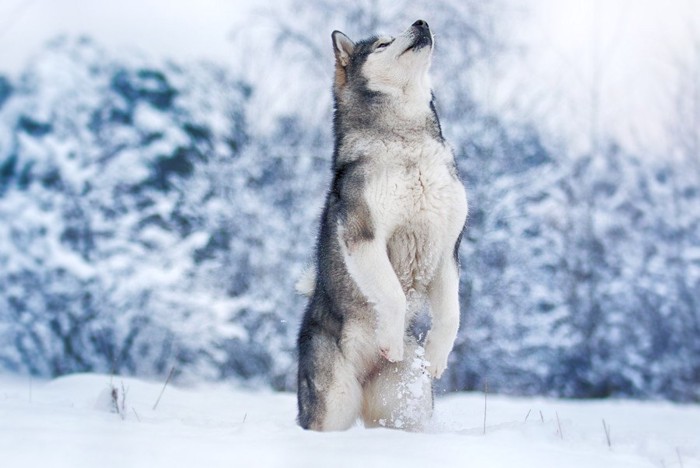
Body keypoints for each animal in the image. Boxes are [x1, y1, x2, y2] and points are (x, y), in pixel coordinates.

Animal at [298, 21, 468, 432]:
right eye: (382, 44)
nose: (422, 22)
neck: (407, 141)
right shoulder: (363, 235)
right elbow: (392, 294)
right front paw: (389, 338)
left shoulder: (447, 249)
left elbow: (451, 312)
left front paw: (438, 354)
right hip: (332, 401)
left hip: (407, 404)